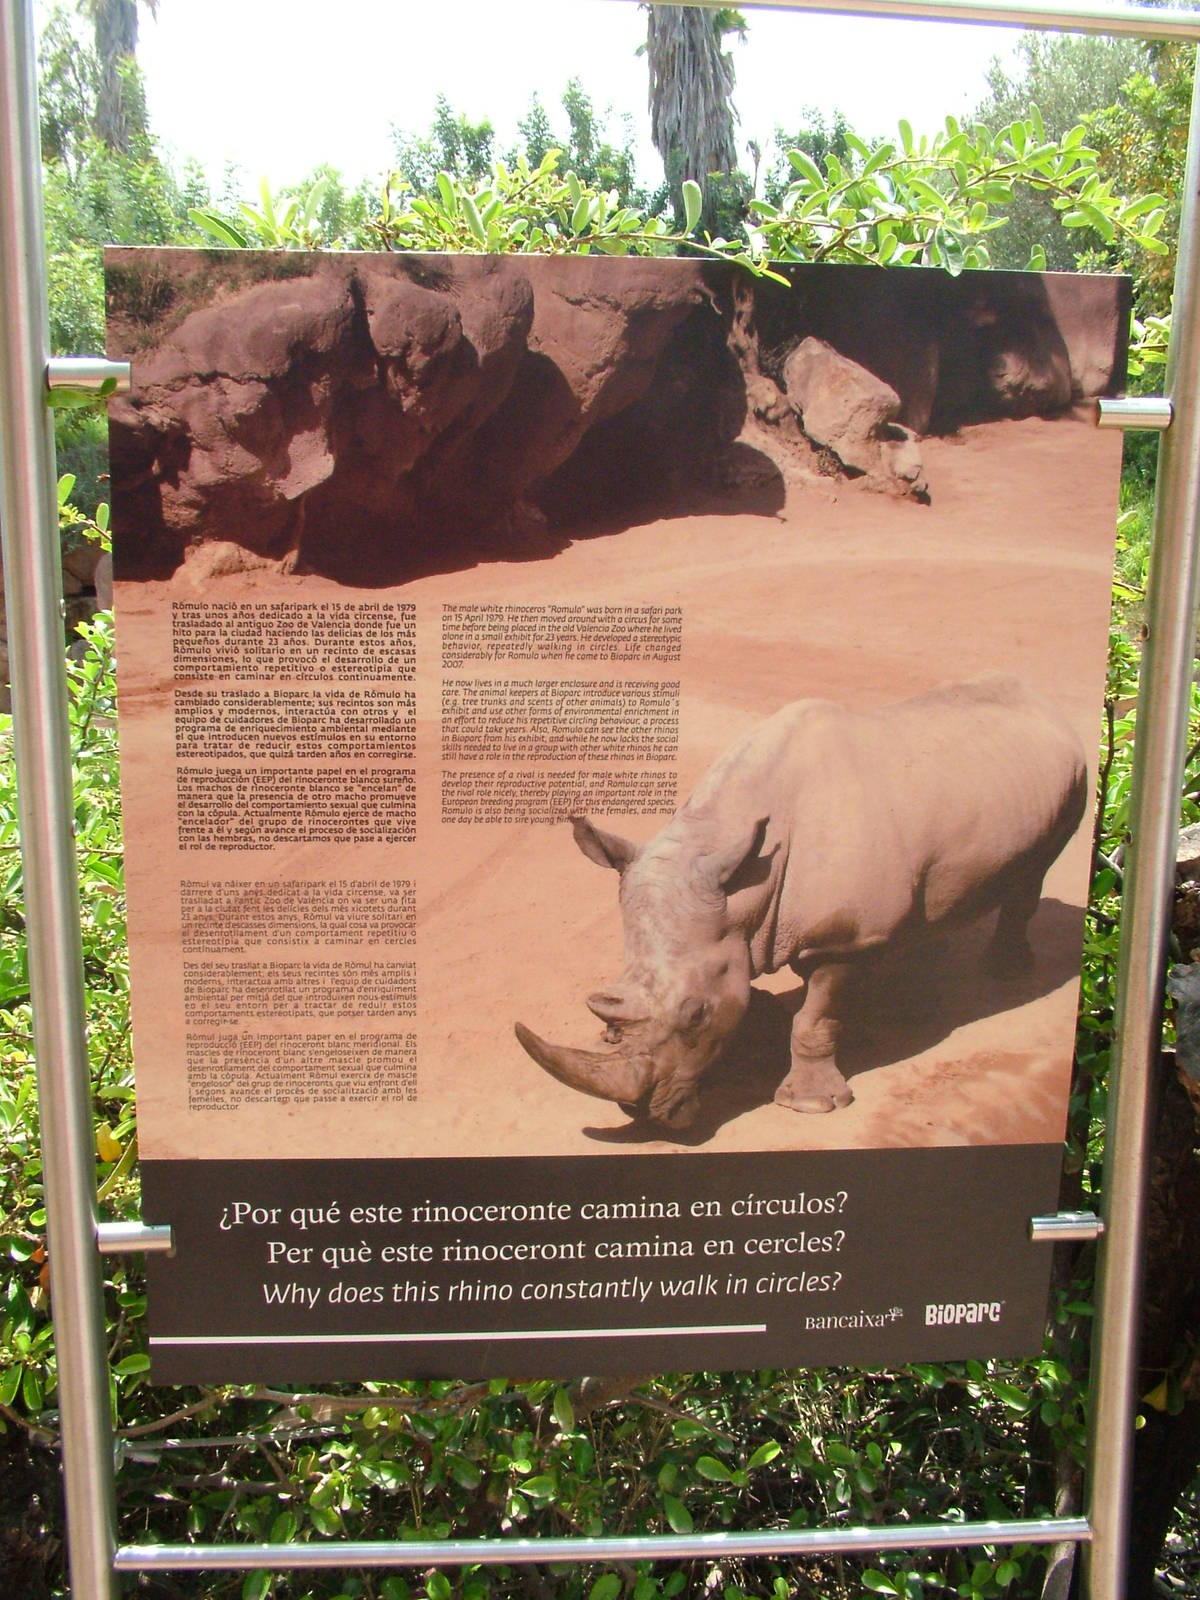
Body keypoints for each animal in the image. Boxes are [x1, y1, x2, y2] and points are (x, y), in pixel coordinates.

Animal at [515, 675, 1087, 1133]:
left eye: (696, 1016)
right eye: (608, 1009)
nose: (639, 1114)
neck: (745, 888)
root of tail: (1041, 699)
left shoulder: (841, 942)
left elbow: (814, 1020)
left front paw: (810, 1105)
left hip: (1076, 777)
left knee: (1035, 872)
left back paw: (1006, 972)